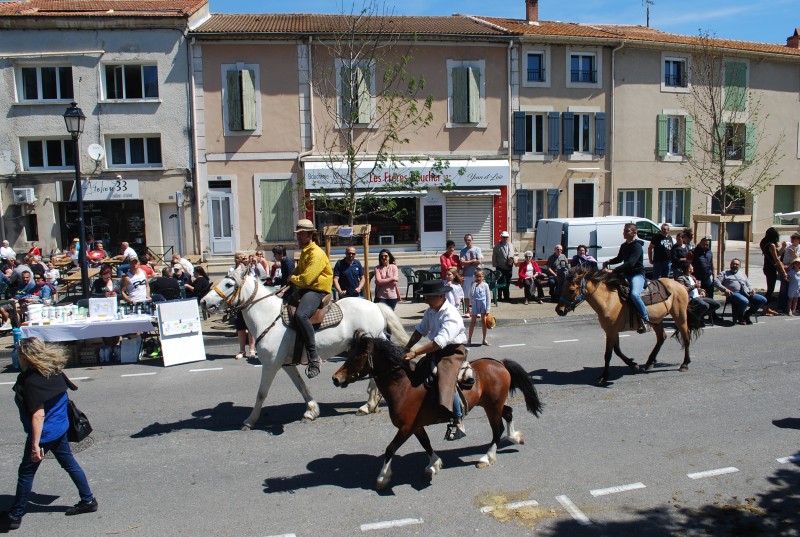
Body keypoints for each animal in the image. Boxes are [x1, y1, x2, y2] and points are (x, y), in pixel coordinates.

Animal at [199, 266, 410, 430]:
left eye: (228, 284)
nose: (203, 301)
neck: (268, 317)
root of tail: (375, 306)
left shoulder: (270, 365)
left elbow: (261, 393)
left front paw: (250, 420)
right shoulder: (286, 365)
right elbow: (301, 386)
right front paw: (312, 411)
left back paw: (367, 406)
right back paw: (371, 404)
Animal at [332, 330, 544, 490]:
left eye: (357, 356)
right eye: (348, 354)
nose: (336, 378)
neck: (404, 385)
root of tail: (500, 363)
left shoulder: (406, 427)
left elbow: (390, 448)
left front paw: (382, 477)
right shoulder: (416, 426)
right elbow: (426, 444)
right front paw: (434, 464)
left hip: (492, 407)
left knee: (497, 429)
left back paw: (487, 457)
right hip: (491, 404)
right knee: (508, 412)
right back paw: (514, 436)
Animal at [556, 264, 700, 384]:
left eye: (571, 289)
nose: (559, 310)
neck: (608, 300)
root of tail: (680, 285)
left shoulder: (611, 331)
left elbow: (608, 354)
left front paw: (604, 376)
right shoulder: (612, 331)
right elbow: (617, 351)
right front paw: (633, 364)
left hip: (680, 316)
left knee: (686, 338)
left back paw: (684, 364)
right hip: (657, 320)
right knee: (661, 338)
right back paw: (650, 362)